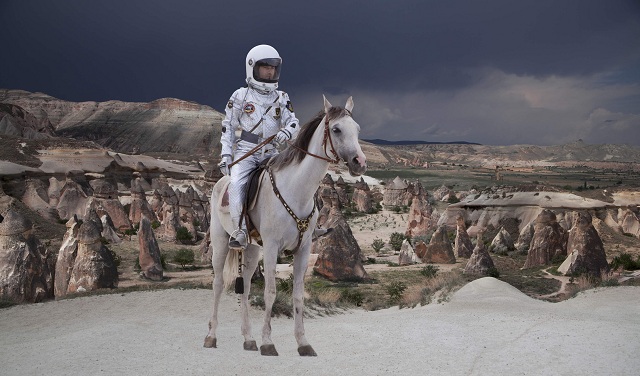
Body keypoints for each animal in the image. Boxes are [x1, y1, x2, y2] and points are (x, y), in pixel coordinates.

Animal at [202, 94, 368, 356]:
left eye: (358, 129)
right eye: (336, 129)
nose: (359, 162)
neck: (296, 190)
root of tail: (221, 183)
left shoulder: (303, 249)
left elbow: (298, 295)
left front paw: (303, 343)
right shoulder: (271, 247)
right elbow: (270, 292)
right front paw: (268, 342)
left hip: (252, 248)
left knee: (245, 286)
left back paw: (248, 339)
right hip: (221, 243)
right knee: (218, 284)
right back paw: (211, 336)